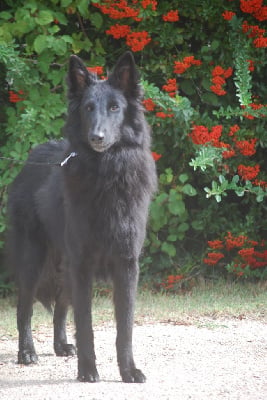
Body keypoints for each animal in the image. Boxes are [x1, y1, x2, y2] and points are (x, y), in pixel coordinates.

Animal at [6, 51, 157, 382]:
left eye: (114, 108)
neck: (106, 172)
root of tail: (30, 158)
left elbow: (124, 328)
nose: (97, 137)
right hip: (33, 259)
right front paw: (88, 370)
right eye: (88, 108)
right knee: (24, 308)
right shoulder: (83, 264)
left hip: (64, 265)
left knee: (61, 308)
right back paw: (27, 352)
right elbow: (85, 324)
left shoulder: (126, 265)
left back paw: (61, 345)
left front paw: (128, 370)